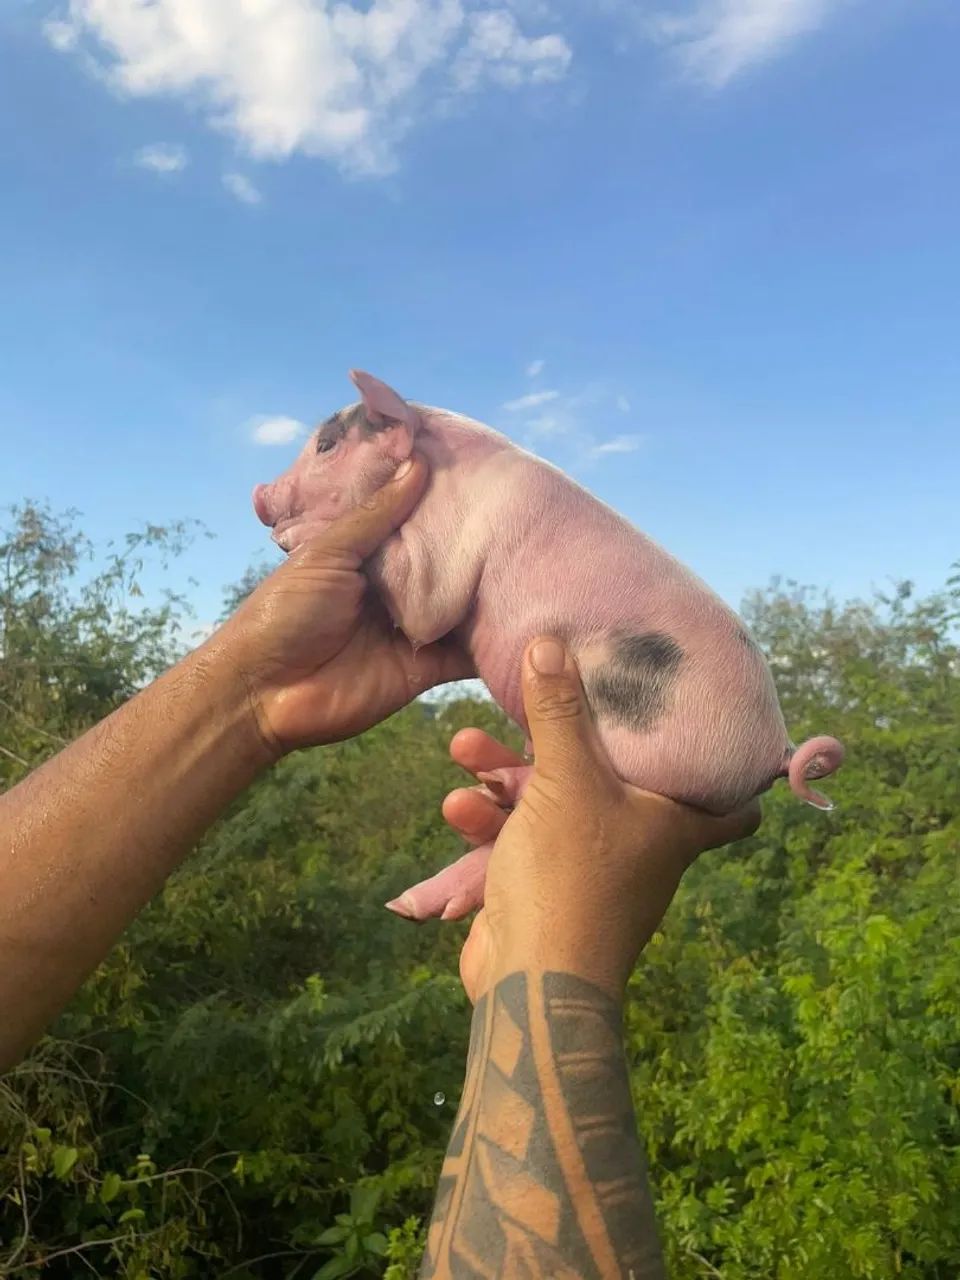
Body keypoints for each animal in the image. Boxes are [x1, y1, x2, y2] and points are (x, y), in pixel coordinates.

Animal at [253, 370, 844, 923]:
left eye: (327, 444)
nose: (259, 496)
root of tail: (776, 748)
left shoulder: (446, 553)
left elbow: (423, 609)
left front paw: (295, 535)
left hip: (642, 756)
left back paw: (493, 790)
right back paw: (412, 901)